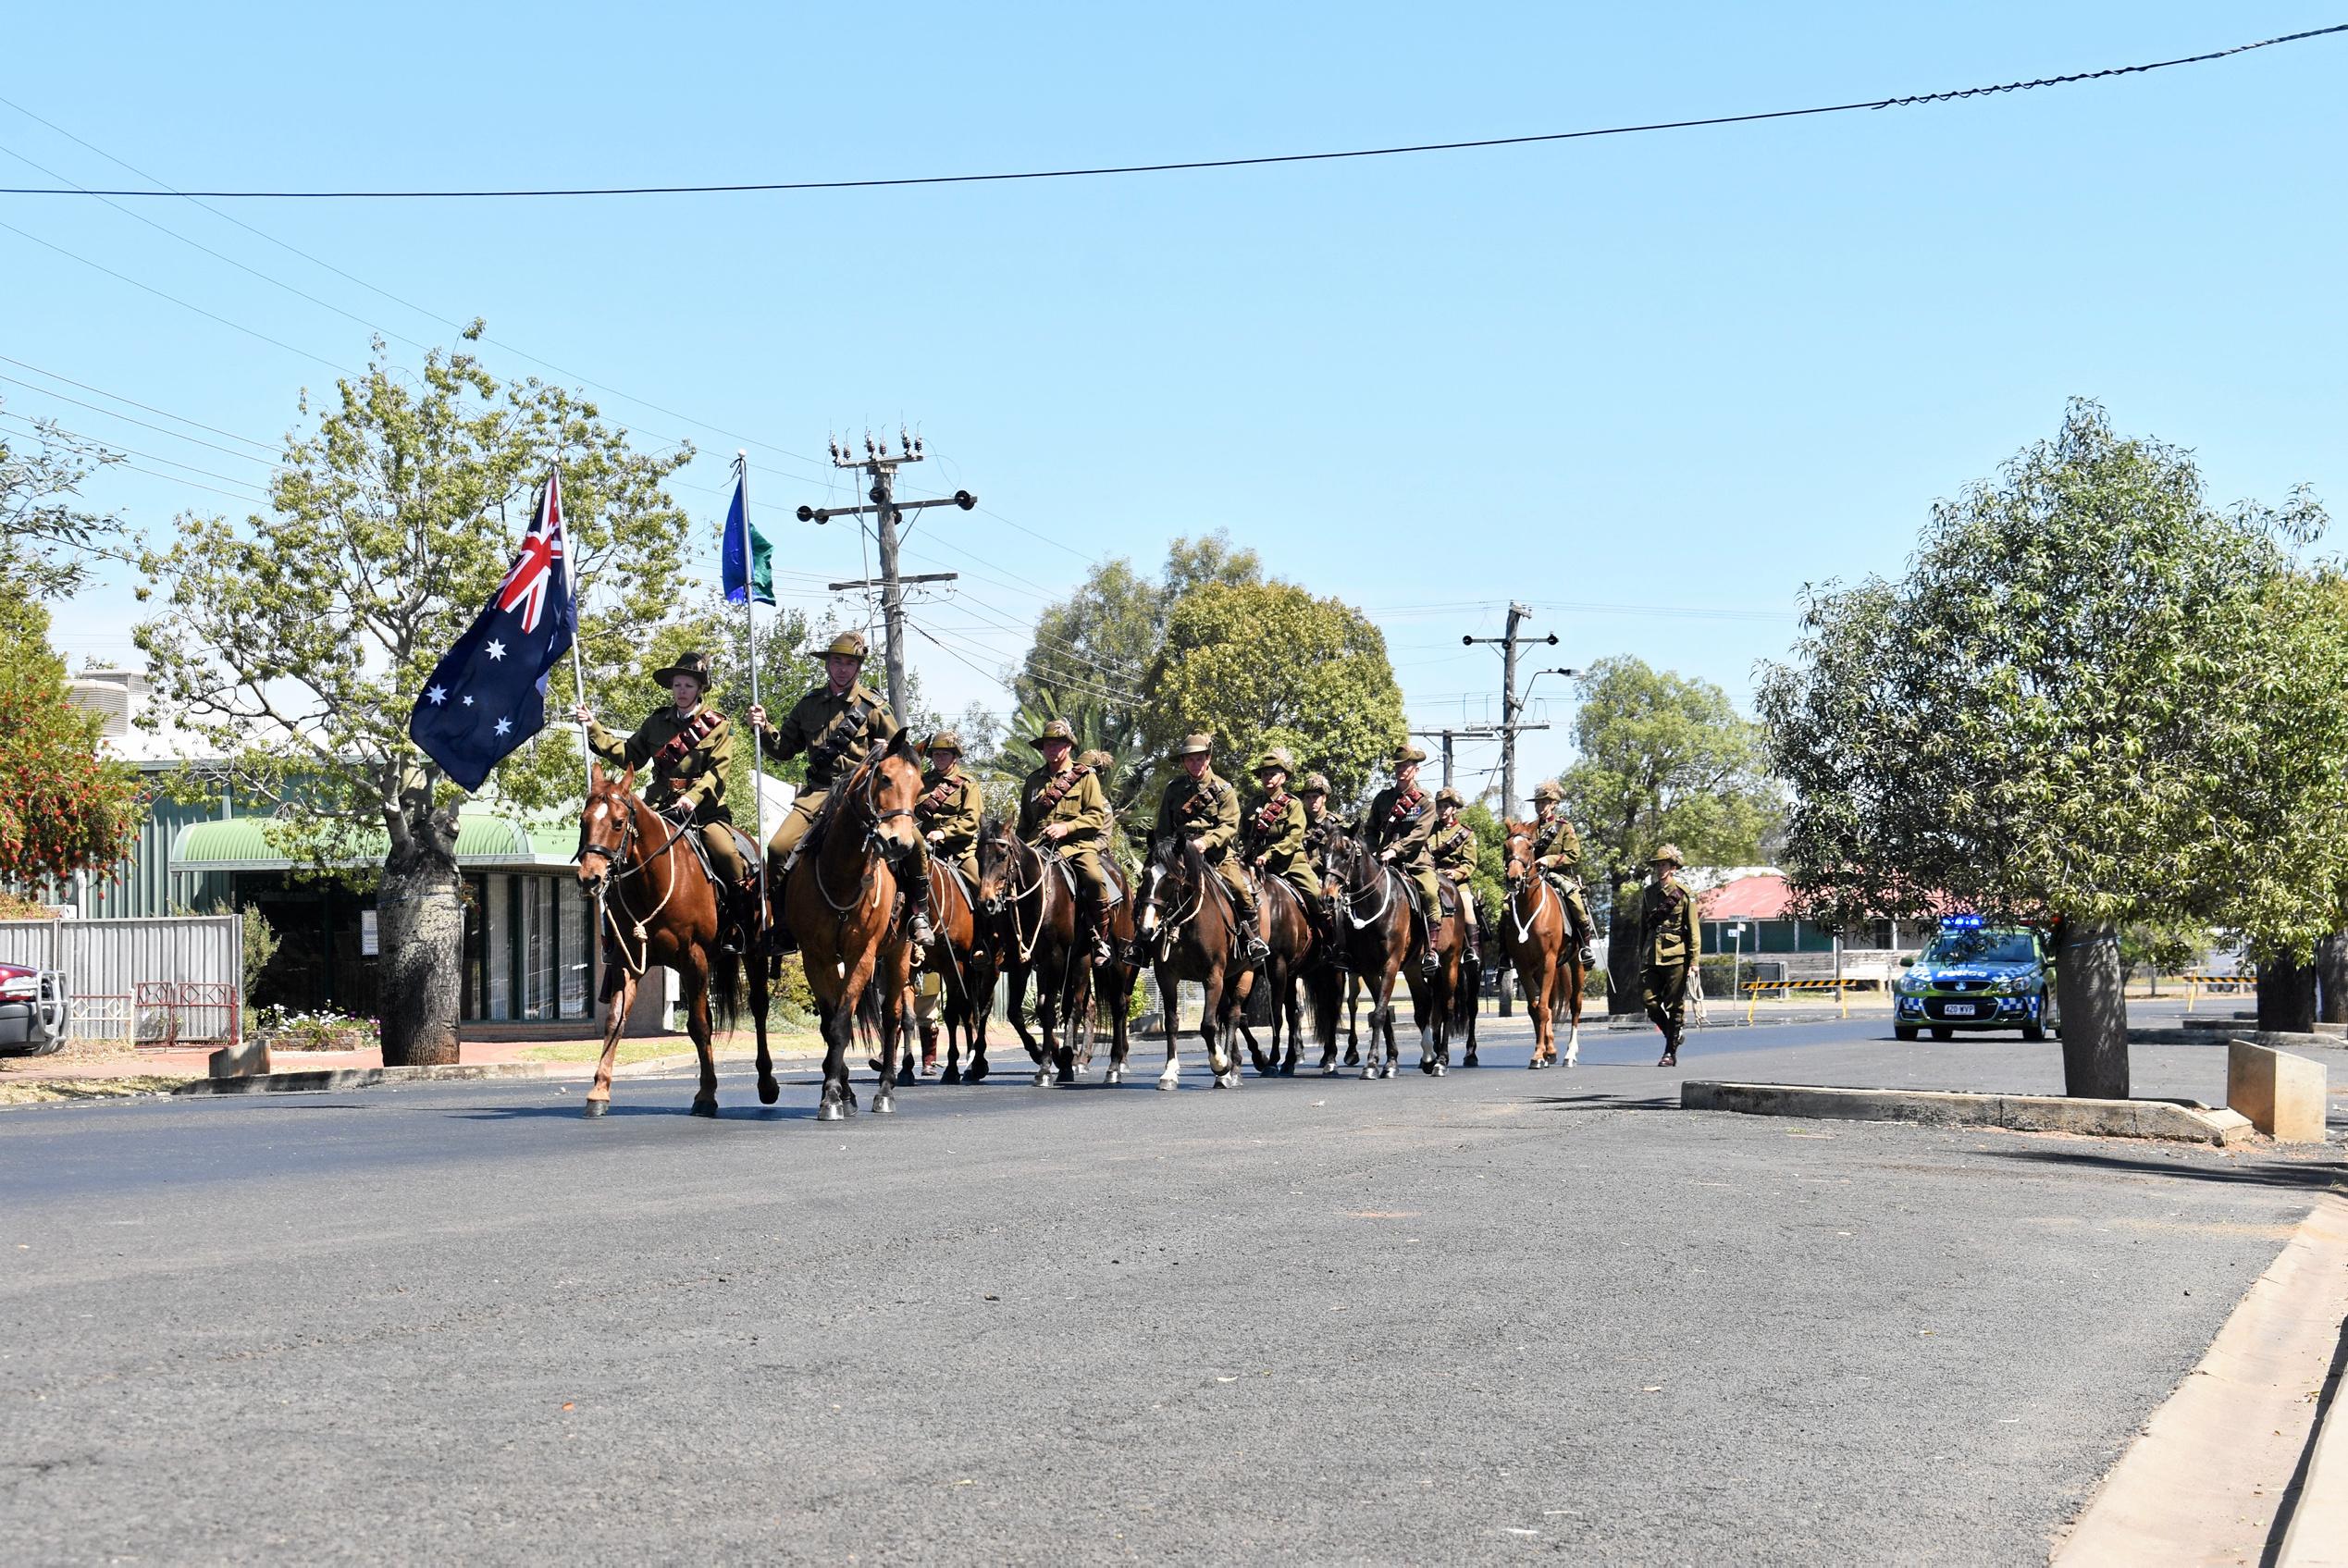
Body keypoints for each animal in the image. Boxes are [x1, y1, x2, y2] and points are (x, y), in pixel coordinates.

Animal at [573, 770, 765, 1112]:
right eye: (584, 821)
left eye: (618, 823)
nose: (589, 878)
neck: (650, 880)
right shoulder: (627, 962)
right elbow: (615, 1021)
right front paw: (599, 1090)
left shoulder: (693, 959)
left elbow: (699, 1026)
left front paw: (706, 1094)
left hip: (753, 953)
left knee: (758, 1009)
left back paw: (767, 1083)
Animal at [779, 732, 924, 1112]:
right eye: (885, 778)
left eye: (919, 786)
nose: (899, 844)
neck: (841, 875)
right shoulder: (817, 957)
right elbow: (830, 1024)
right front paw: (841, 1090)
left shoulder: (862, 954)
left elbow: (844, 1022)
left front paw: (832, 1095)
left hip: (899, 953)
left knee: (893, 1017)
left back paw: (886, 1088)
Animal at [1131, 831, 1258, 1089]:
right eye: (1145, 874)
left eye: (1170, 879)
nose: (1146, 930)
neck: (1185, 923)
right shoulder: (1166, 977)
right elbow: (1171, 1022)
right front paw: (1169, 1072)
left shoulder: (1213, 976)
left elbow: (1208, 1025)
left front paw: (1220, 1064)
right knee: (1227, 1013)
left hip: (1244, 973)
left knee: (1233, 1015)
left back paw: (1229, 1070)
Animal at [1502, 821, 1596, 1065]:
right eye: (1506, 846)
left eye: (1529, 846)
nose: (1514, 878)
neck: (1529, 908)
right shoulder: (1524, 967)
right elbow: (1535, 1008)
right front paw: (1541, 1052)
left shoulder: (1548, 960)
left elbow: (1544, 1008)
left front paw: (1538, 1055)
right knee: (1552, 1003)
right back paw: (1551, 1050)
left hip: (1575, 964)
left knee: (1575, 1005)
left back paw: (1569, 1054)